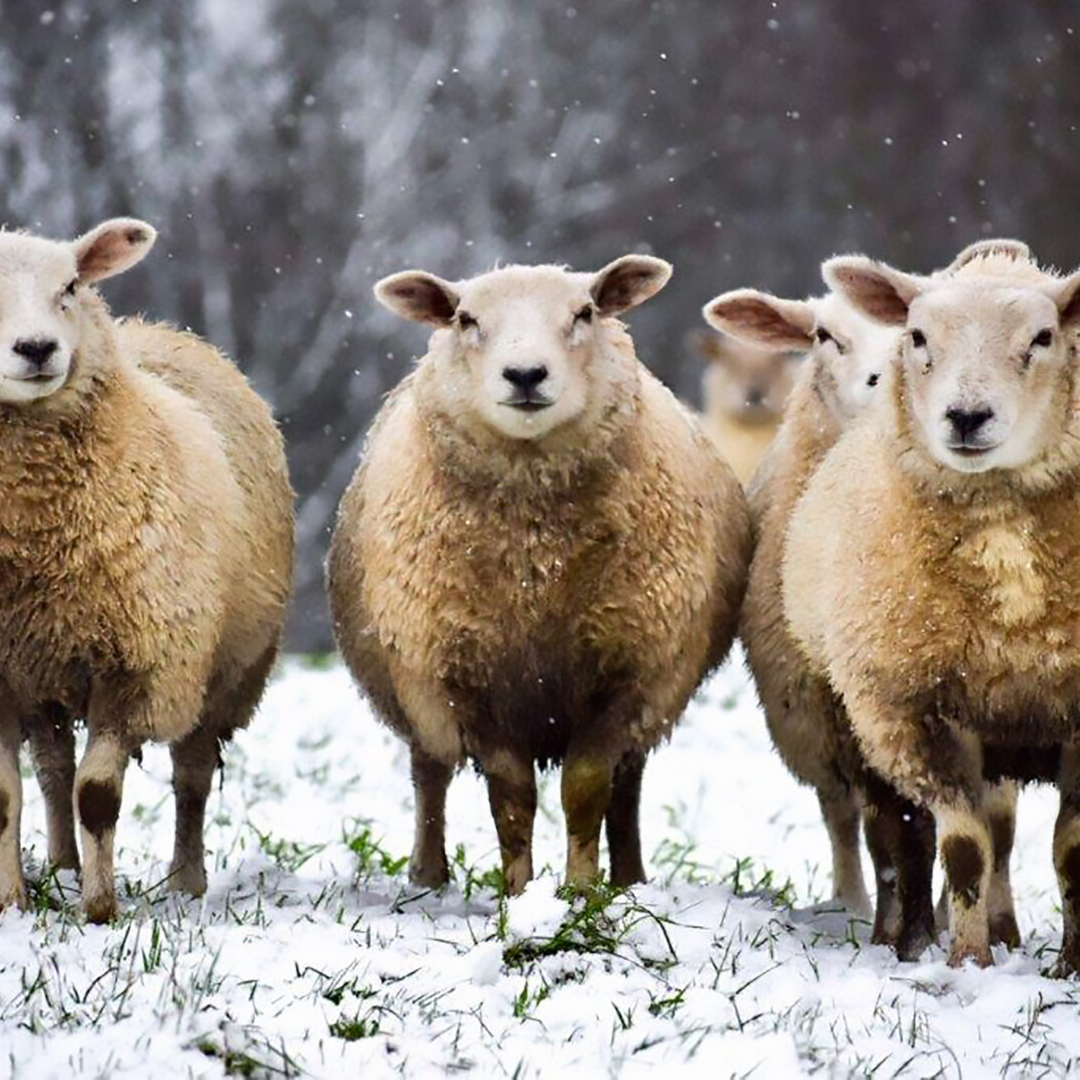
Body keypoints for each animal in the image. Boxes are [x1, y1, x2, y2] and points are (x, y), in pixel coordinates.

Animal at [0, 219, 294, 922]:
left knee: (191, 775)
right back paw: (61, 864)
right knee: (52, 766)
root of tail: (164, 330)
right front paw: (11, 906)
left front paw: (100, 910)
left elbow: (98, 794)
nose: (37, 349)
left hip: (219, 671)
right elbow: (5, 798)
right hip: (44, 673)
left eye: (70, 286)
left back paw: (185, 880)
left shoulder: (135, 665)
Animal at [328, 256, 752, 894]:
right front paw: (519, 893)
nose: (525, 374)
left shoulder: (627, 669)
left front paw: (581, 893)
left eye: (585, 312)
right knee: (430, 774)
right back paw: (427, 876)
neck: (535, 560)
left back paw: (630, 879)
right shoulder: (468, 678)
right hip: (415, 686)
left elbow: (586, 787)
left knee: (628, 786)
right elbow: (511, 798)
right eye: (465, 319)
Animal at [783, 242, 1080, 970]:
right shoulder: (912, 707)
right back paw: (904, 938)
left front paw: (1071, 965)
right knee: (898, 837)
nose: (967, 417)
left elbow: (1070, 850)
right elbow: (966, 848)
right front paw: (968, 966)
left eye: (1043, 337)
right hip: (858, 719)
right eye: (917, 336)